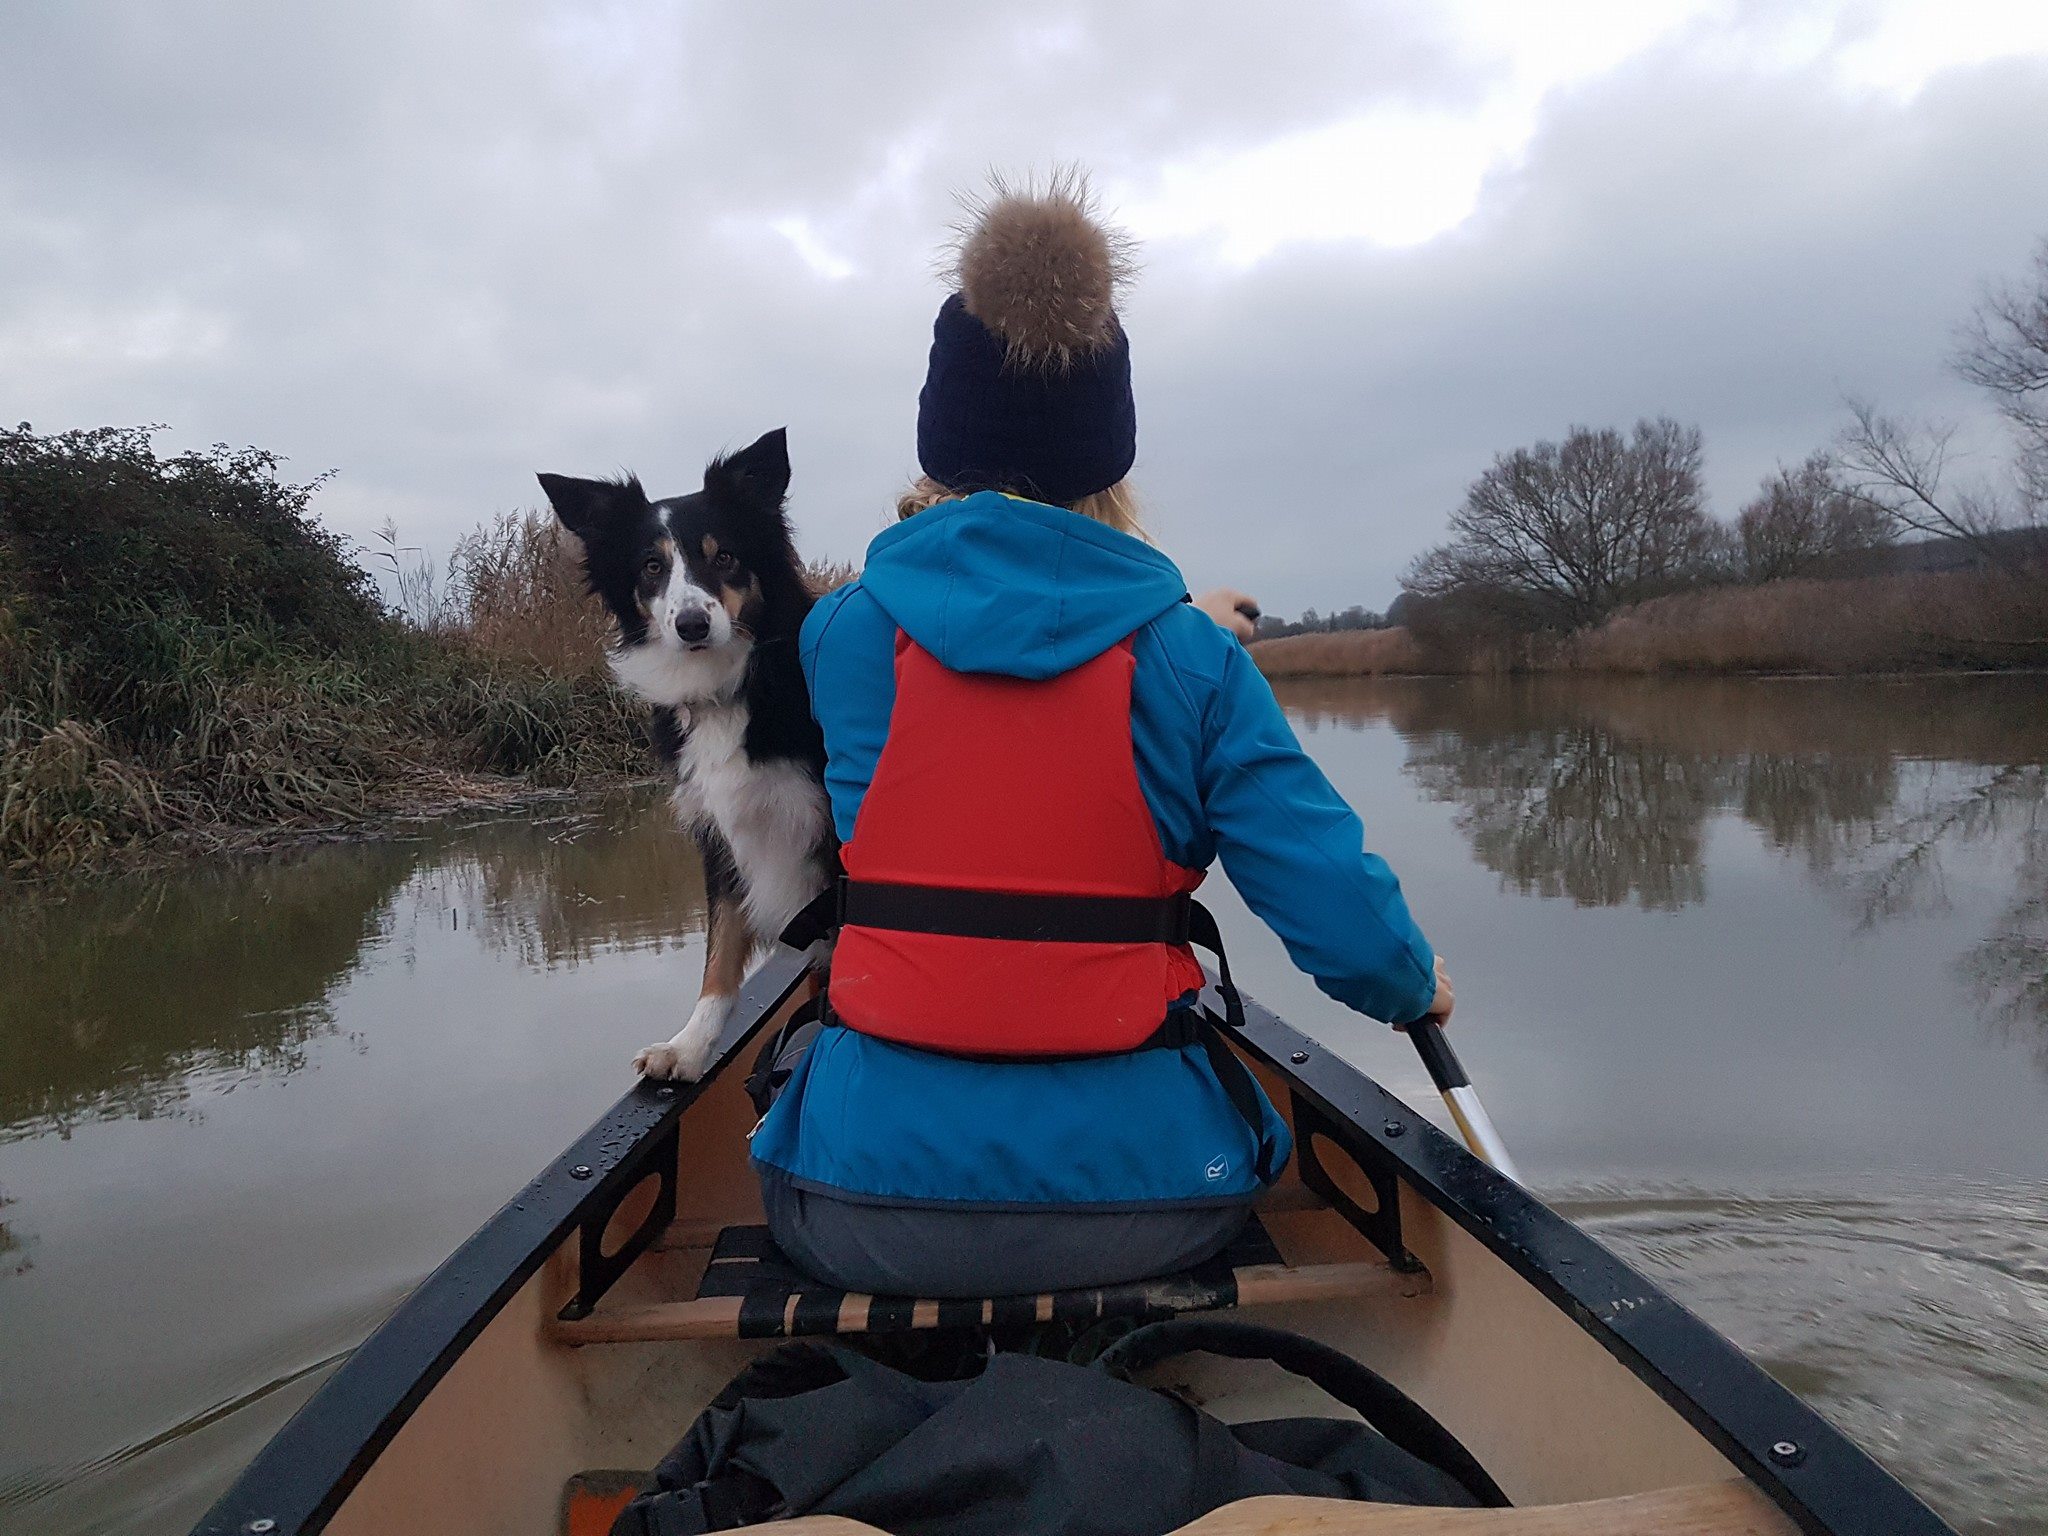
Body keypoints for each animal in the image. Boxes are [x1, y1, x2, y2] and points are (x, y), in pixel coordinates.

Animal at [548, 428, 835, 1089]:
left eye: (724, 556)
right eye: (652, 567)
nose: (692, 624)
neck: (729, 688)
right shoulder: (720, 836)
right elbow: (718, 953)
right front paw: (691, 1046)